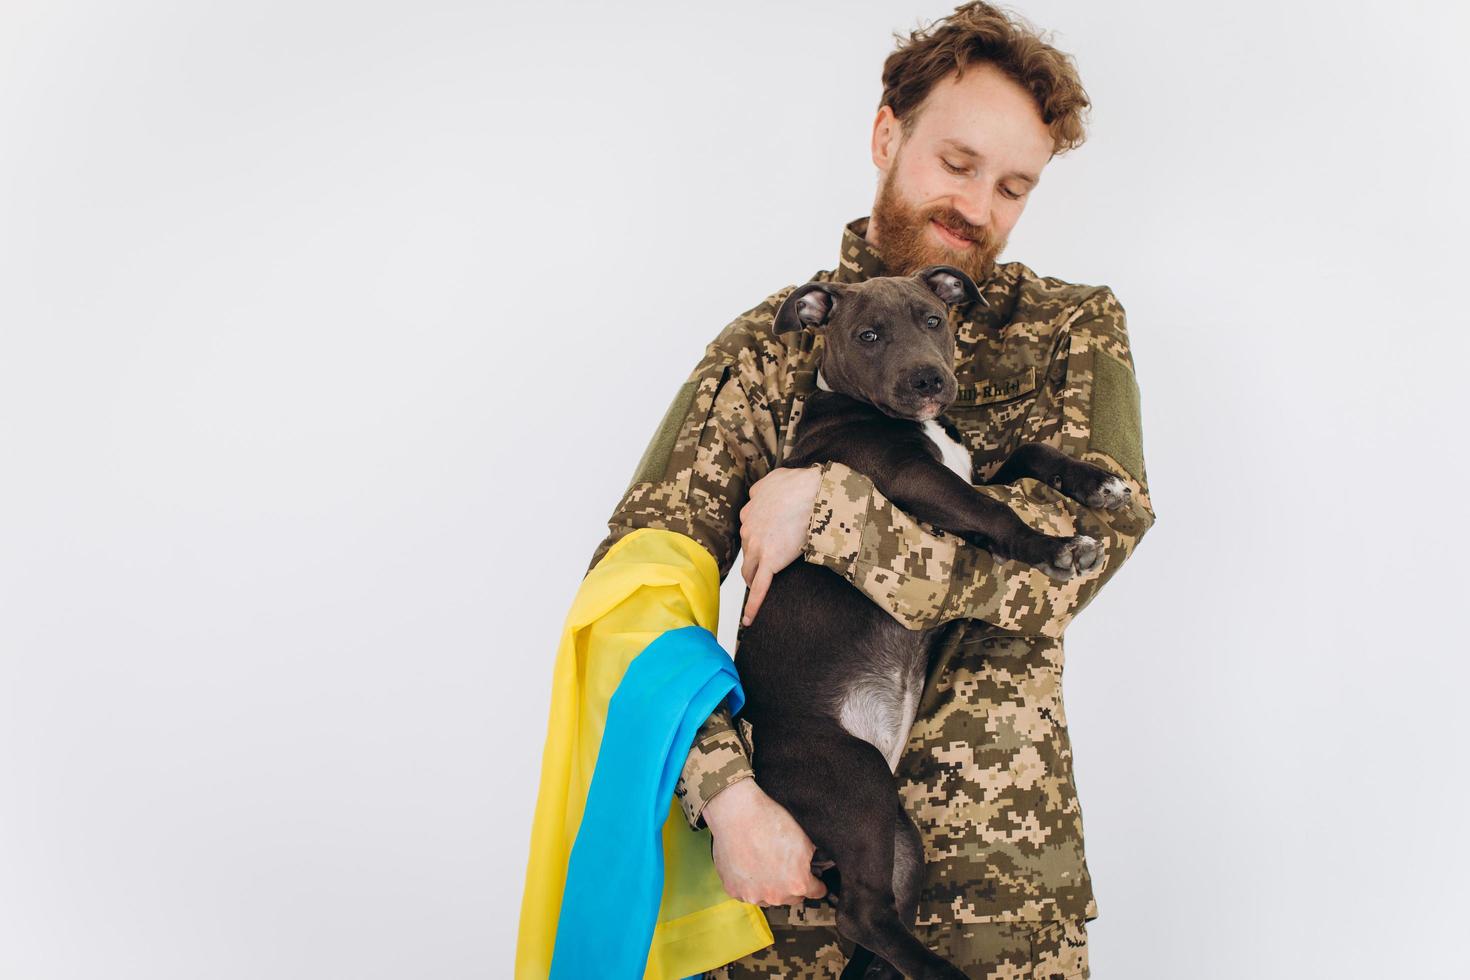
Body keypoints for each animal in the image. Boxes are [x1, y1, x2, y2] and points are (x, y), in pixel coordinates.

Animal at [732, 265, 1123, 980]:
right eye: (868, 334)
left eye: (934, 320)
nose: (928, 382)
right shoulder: (914, 480)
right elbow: (993, 511)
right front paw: (1056, 548)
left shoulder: (967, 470)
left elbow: (1025, 454)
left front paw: (1093, 481)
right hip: (852, 779)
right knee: (862, 914)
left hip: (896, 834)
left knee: (878, 917)